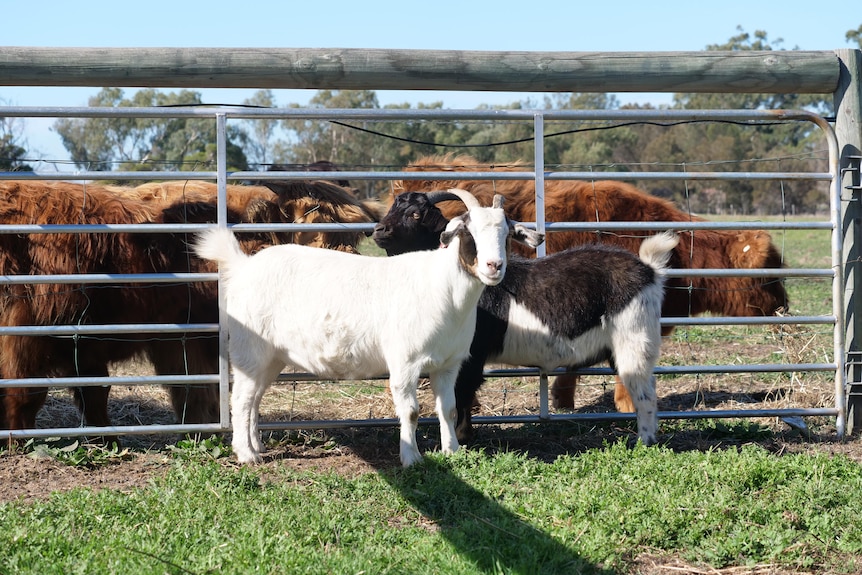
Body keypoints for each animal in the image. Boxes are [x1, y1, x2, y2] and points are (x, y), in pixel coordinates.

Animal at [194, 189, 544, 466]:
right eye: (468, 233)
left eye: (506, 235)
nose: (494, 266)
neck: (442, 287)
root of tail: (242, 267)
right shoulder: (405, 362)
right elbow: (411, 411)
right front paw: (411, 458)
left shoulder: (449, 364)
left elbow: (448, 409)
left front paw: (452, 451)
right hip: (249, 349)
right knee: (242, 399)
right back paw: (246, 455)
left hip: (272, 357)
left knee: (254, 399)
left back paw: (257, 446)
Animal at [374, 191, 676, 444]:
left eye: (416, 214)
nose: (378, 230)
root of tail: (649, 270)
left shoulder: (471, 355)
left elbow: (464, 395)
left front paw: (462, 438)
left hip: (634, 340)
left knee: (644, 395)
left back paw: (645, 441)